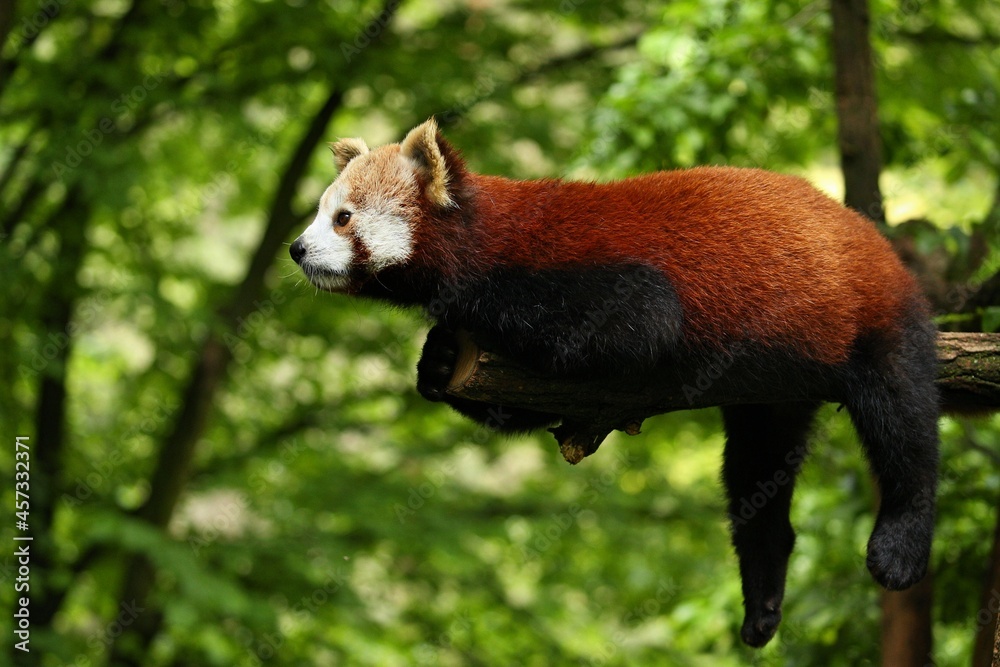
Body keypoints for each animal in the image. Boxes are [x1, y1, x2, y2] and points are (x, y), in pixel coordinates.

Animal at [289, 119, 939, 647]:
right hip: (774, 386)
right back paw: (763, 596)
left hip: (871, 318)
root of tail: (873, 238)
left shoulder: (589, 279)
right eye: (321, 213)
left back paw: (900, 546)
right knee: (757, 471)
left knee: (903, 424)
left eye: (342, 218)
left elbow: (631, 327)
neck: (484, 235)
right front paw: (440, 358)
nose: (295, 248)